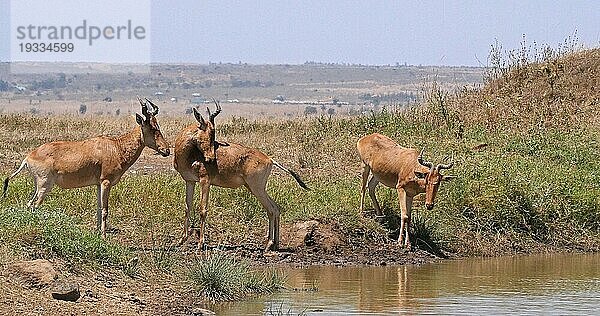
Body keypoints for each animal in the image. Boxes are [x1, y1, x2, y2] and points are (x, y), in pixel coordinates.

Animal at [2, 97, 171, 238]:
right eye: (152, 128)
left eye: (158, 126)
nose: (166, 150)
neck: (115, 147)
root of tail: (28, 157)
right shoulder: (106, 182)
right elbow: (105, 210)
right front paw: (103, 236)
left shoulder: (98, 184)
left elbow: (98, 208)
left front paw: (97, 233)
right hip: (45, 185)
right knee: (34, 205)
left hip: (38, 185)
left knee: (29, 203)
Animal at [171, 100, 308, 251]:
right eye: (209, 134)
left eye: (213, 135)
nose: (211, 159)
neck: (191, 154)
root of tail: (269, 159)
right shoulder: (190, 181)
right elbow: (187, 207)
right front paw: (181, 240)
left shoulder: (205, 181)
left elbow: (203, 209)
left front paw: (201, 243)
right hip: (254, 188)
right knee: (276, 208)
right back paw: (275, 244)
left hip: (257, 188)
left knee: (271, 209)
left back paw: (268, 244)